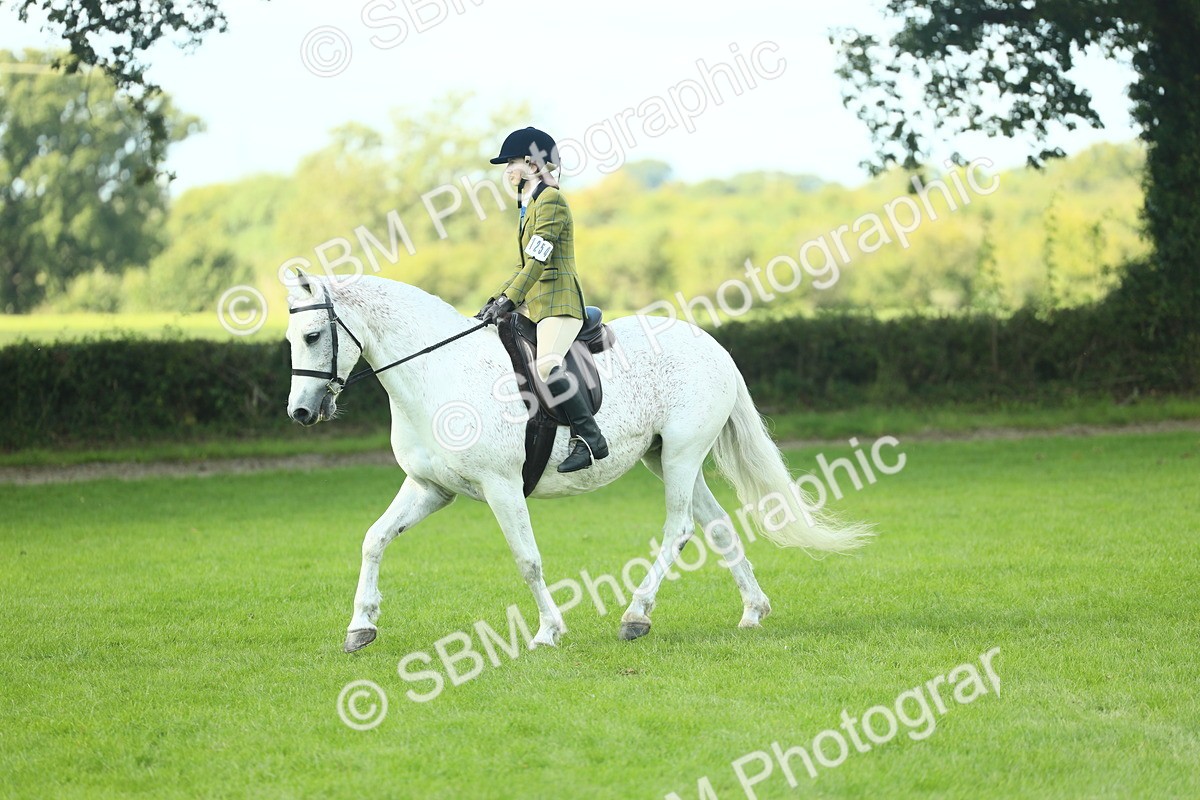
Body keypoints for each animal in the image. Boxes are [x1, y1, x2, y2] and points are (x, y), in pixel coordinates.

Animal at [283, 271, 871, 653]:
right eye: (290, 338)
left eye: (312, 336)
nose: (301, 413)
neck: (438, 372)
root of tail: (713, 346)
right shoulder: (431, 487)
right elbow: (375, 539)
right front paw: (360, 626)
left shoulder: (501, 487)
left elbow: (527, 560)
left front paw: (548, 632)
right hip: (666, 458)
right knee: (718, 525)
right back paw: (752, 611)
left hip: (682, 456)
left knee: (680, 528)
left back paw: (636, 616)